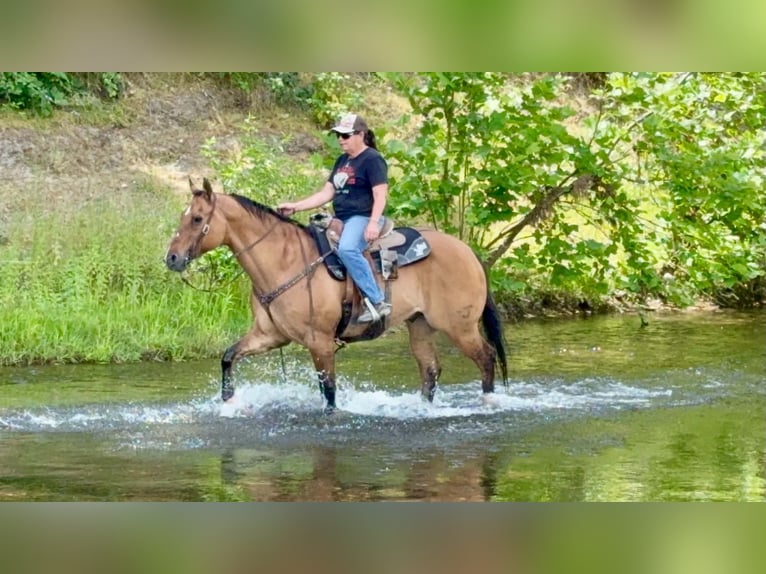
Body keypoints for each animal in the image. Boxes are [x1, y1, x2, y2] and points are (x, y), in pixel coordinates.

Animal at [165, 178, 508, 412]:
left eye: (197, 219)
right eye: (183, 217)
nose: (172, 258)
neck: (285, 262)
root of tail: (469, 252)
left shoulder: (320, 342)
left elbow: (328, 391)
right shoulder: (269, 335)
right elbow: (228, 356)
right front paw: (229, 400)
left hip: (460, 326)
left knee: (486, 357)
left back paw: (490, 402)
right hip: (420, 325)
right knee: (431, 371)